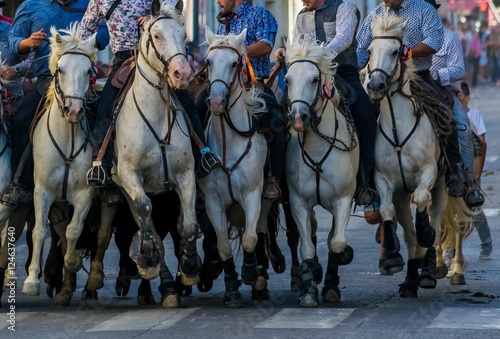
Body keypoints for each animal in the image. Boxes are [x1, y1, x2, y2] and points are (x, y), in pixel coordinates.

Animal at [22, 24, 96, 306]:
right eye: (60, 70)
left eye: (88, 71)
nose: (74, 111)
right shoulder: (41, 191)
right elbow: (39, 231)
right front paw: (32, 281)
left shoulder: (86, 193)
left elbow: (74, 231)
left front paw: (72, 261)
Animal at [108, 0, 198, 308]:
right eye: (157, 35)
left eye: (184, 35)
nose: (182, 74)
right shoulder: (129, 175)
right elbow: (146, 212)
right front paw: (146, 258)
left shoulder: (186, 175)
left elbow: (189, 224)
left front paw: (190, 265)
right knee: (150, 226)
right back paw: (165, 283)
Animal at [199, 27, 270, 306]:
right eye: (208, 62)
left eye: (233, 63)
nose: (217, 102)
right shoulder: (213, 202)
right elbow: (223, 246)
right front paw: (231, 288)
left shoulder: (252, 195)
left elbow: (250, 238)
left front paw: (249, 272)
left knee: (259, 232)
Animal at [286, 37, 360, 308]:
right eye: (287, 79)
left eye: (314, 79)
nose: (298, 118)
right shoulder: (298, 202)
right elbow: (307, 247)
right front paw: (308, 289)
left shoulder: (343, 200)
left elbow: (337, 244)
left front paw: (332, 280)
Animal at [366, 15, 470, 298]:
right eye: (369, 51)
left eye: (395, 51)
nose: (376, 85)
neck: (398, 128)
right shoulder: (384, 181)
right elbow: (386, 210)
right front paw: (392, 257)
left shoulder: (428, 173)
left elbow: (424, 208)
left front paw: (425, 236)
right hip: (403, 195)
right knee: (410, 237)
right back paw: (411, 280)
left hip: (443, 188)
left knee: (434, 225)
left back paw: (428, 272)